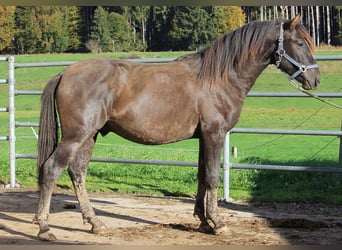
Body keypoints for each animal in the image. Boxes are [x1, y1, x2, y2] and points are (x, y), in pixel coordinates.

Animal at [33, 15, 320, 240]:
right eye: (300, 43)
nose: (315, 79)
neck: (219, 78)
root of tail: (64, 73)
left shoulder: (204, 137)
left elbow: (202, 176)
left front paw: (204, 221)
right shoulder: (215, 134)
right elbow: (213, 177)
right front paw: (219, 224)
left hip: (90, 135)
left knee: (77, 172)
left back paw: (96, 223)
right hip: (76, 135)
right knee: (52, 169)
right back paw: (45, 228)